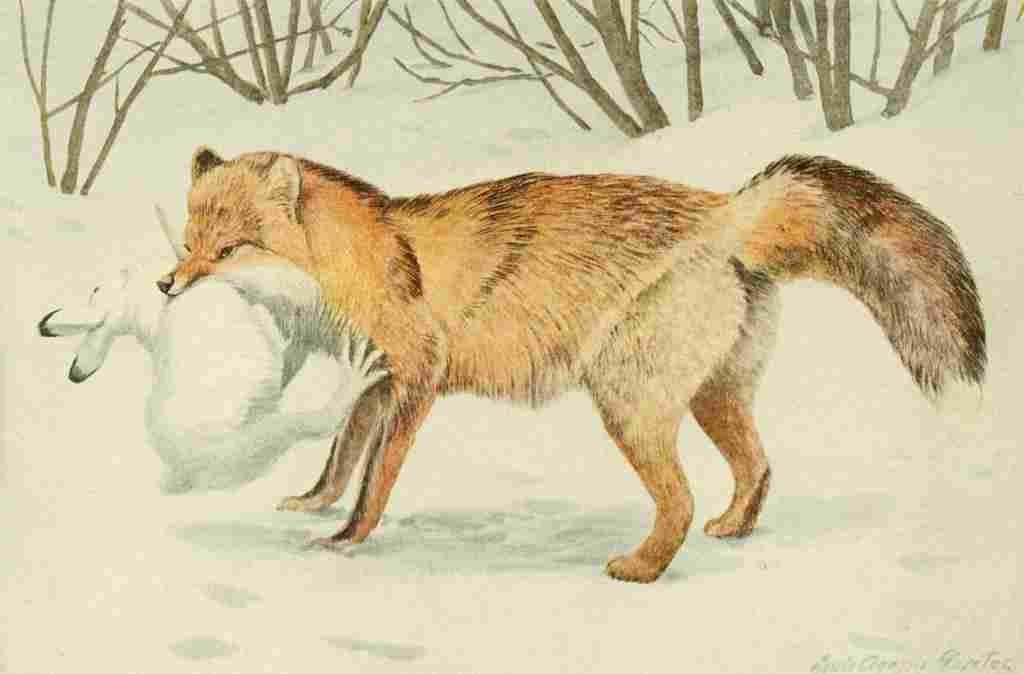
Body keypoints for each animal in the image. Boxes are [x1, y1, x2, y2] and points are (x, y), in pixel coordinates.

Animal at [156, 146, 986, 583]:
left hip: (626, 405)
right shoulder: (371, 383)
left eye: (227, 250)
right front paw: (311, 503)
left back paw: (644, 568)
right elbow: (338, 459)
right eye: (188, 242)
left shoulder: (416, 383)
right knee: (758, 469)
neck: (359, 266)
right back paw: (734, 530)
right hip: (711, 398)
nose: (166, 285)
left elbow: (375, 479)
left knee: (680, 499)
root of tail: (722, 210)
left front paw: (347, 539)